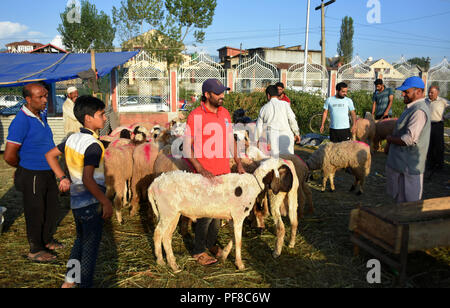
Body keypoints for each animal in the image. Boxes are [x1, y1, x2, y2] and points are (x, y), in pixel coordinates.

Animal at [147, 159, 296, 272]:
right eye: (287, 173)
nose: (291, 188)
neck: (253, 183)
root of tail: (154, 183)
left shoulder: (232, 218)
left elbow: (234, 238)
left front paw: (224, 255)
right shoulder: (238, 216)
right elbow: (239, 240)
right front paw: (240, 265)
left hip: (173, 213)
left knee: (166, 236)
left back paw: (173, 264)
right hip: (167, 211)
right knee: (158, 233)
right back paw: (161, 261)